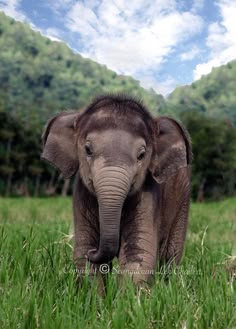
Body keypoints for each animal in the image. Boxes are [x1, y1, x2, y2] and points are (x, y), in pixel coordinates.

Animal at [41, 93, 192, 286]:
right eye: (87, 149)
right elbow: (84, 255)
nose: (94, 252)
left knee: (170, 256)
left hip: (183, 199)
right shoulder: (82, 194)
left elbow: (138, 254)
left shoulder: (148, 193)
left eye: (142, 155)